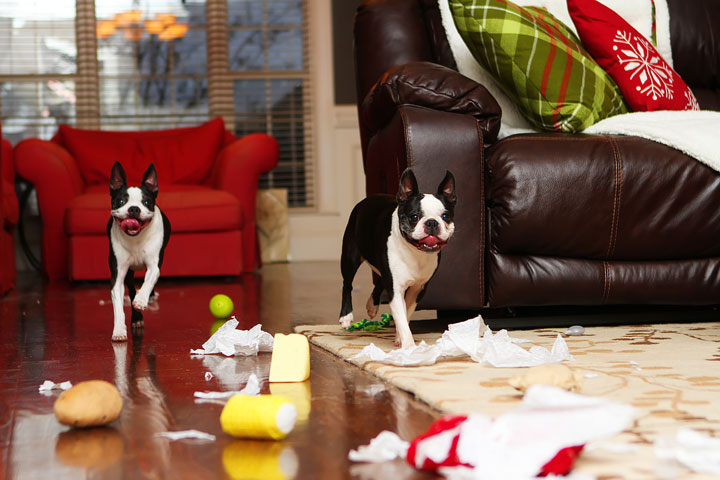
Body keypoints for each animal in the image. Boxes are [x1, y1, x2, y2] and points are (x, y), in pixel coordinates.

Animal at [107, 163, 171, 344]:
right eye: (121, 201)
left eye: (147, 202)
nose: (134, 209)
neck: (135, 238)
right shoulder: (118, 275)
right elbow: (118, 306)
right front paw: (119, 330)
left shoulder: (154, 265)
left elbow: (148, 281)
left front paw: (142, 300)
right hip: (128, 273)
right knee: (131, 289)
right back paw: (136, 318)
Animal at [338, 169, 456, 348]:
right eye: (414, 217)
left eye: (445, 216)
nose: (431, 223)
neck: (416, 252)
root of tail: (366, 199)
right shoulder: (395, 289)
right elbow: (401, 317)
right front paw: (409, 347)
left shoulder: (418, 289)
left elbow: (405, 314)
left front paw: (400, 338)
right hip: (350, 256)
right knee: (347, 284)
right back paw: (346, 316)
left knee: (379, 280)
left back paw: (372, 305)